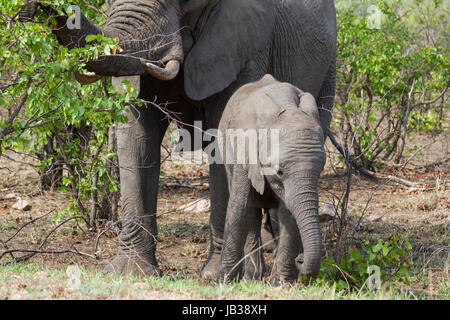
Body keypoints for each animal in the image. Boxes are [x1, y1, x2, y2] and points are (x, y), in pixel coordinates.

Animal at [217, 74, 326, 282]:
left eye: (320, 171)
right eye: (279, 172)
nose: (300, 260)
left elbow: (288, 212)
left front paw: (281, 282)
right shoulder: (245, 149)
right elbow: (240, 206)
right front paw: (224, 280)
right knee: (250, 211)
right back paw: (252, 277)